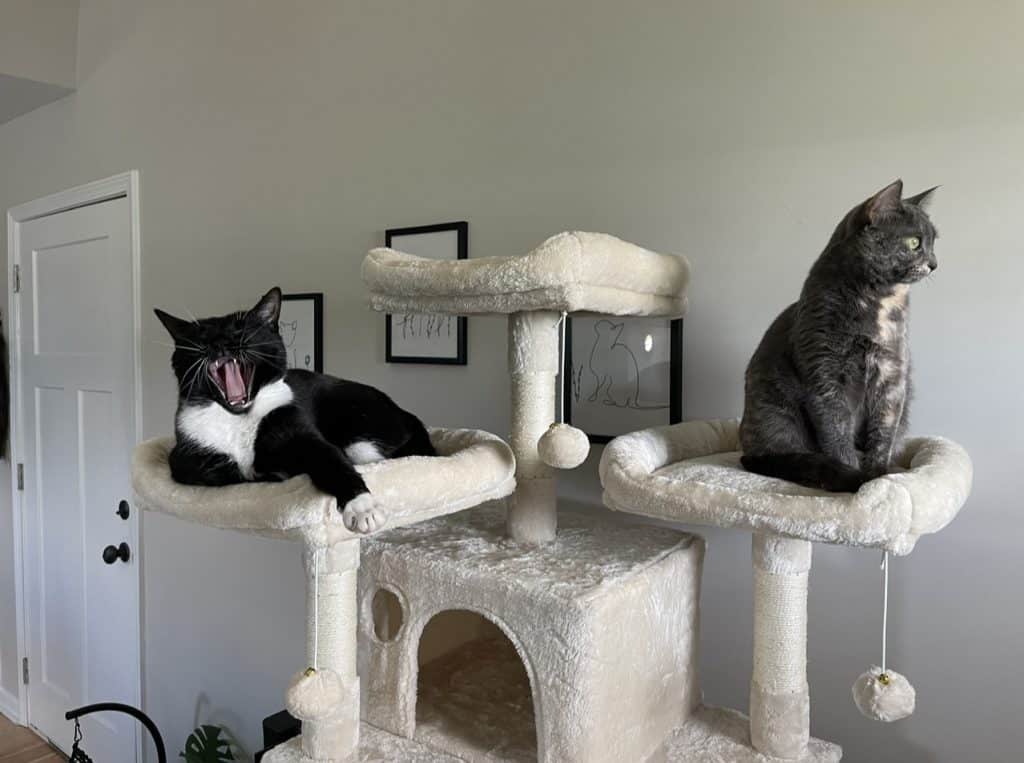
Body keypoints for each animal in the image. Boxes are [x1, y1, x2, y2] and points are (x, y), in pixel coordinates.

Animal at [153, 286, 434, 528]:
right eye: (202, 337)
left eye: (240, 330)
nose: (220, 342)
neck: (240, 417)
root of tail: (406, 414)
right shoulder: (184, 452)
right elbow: (203, 470)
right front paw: (266, 472)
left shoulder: (299, 429)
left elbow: (332, 460)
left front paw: (363, 508)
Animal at [741, 179, 937, 491]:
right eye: (914, 242)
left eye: (933, 242)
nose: (934, 263)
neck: (877, 304)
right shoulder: (824, 375)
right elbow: (836, 435)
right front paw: (854, 480)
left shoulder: (893, 374)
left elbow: (883, 433)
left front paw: (878, 477)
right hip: (774, 411)